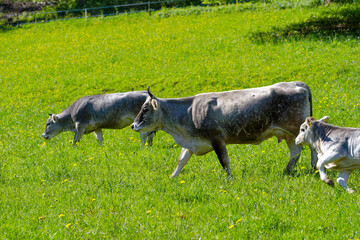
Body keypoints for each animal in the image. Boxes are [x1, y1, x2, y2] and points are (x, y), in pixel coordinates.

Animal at [131, 81, 316, 177]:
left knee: (311, 147)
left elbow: (224, 161)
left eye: (145, 108)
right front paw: (172, 177)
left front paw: (229, 178)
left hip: (296, 130)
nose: (133, 125)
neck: (189, 112)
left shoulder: (217, 139)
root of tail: (298, 83)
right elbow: (181, 160)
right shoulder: (191, 142)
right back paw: (289, 170)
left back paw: (312, 167)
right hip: (288, 135)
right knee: (295, 152)